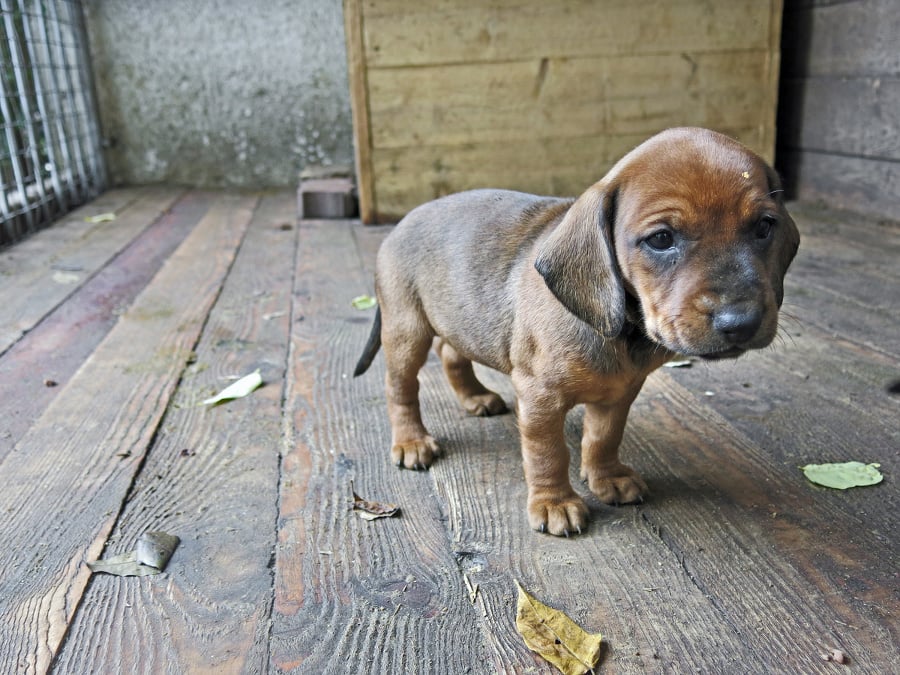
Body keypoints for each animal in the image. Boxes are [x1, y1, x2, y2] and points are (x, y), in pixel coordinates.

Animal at [356, 128, 800, 540]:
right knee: (401, 386)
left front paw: (608, 478)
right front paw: (555, 503)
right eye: (661, 239)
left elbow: (603, 437)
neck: (619, 329)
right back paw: (411, 441)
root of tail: (402, 222)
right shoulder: (539, 398)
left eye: (764, 227)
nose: (740, 322)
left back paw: (475, 397)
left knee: (451, 352)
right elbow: (548, 453)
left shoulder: (620, 394)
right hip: (406, 329)